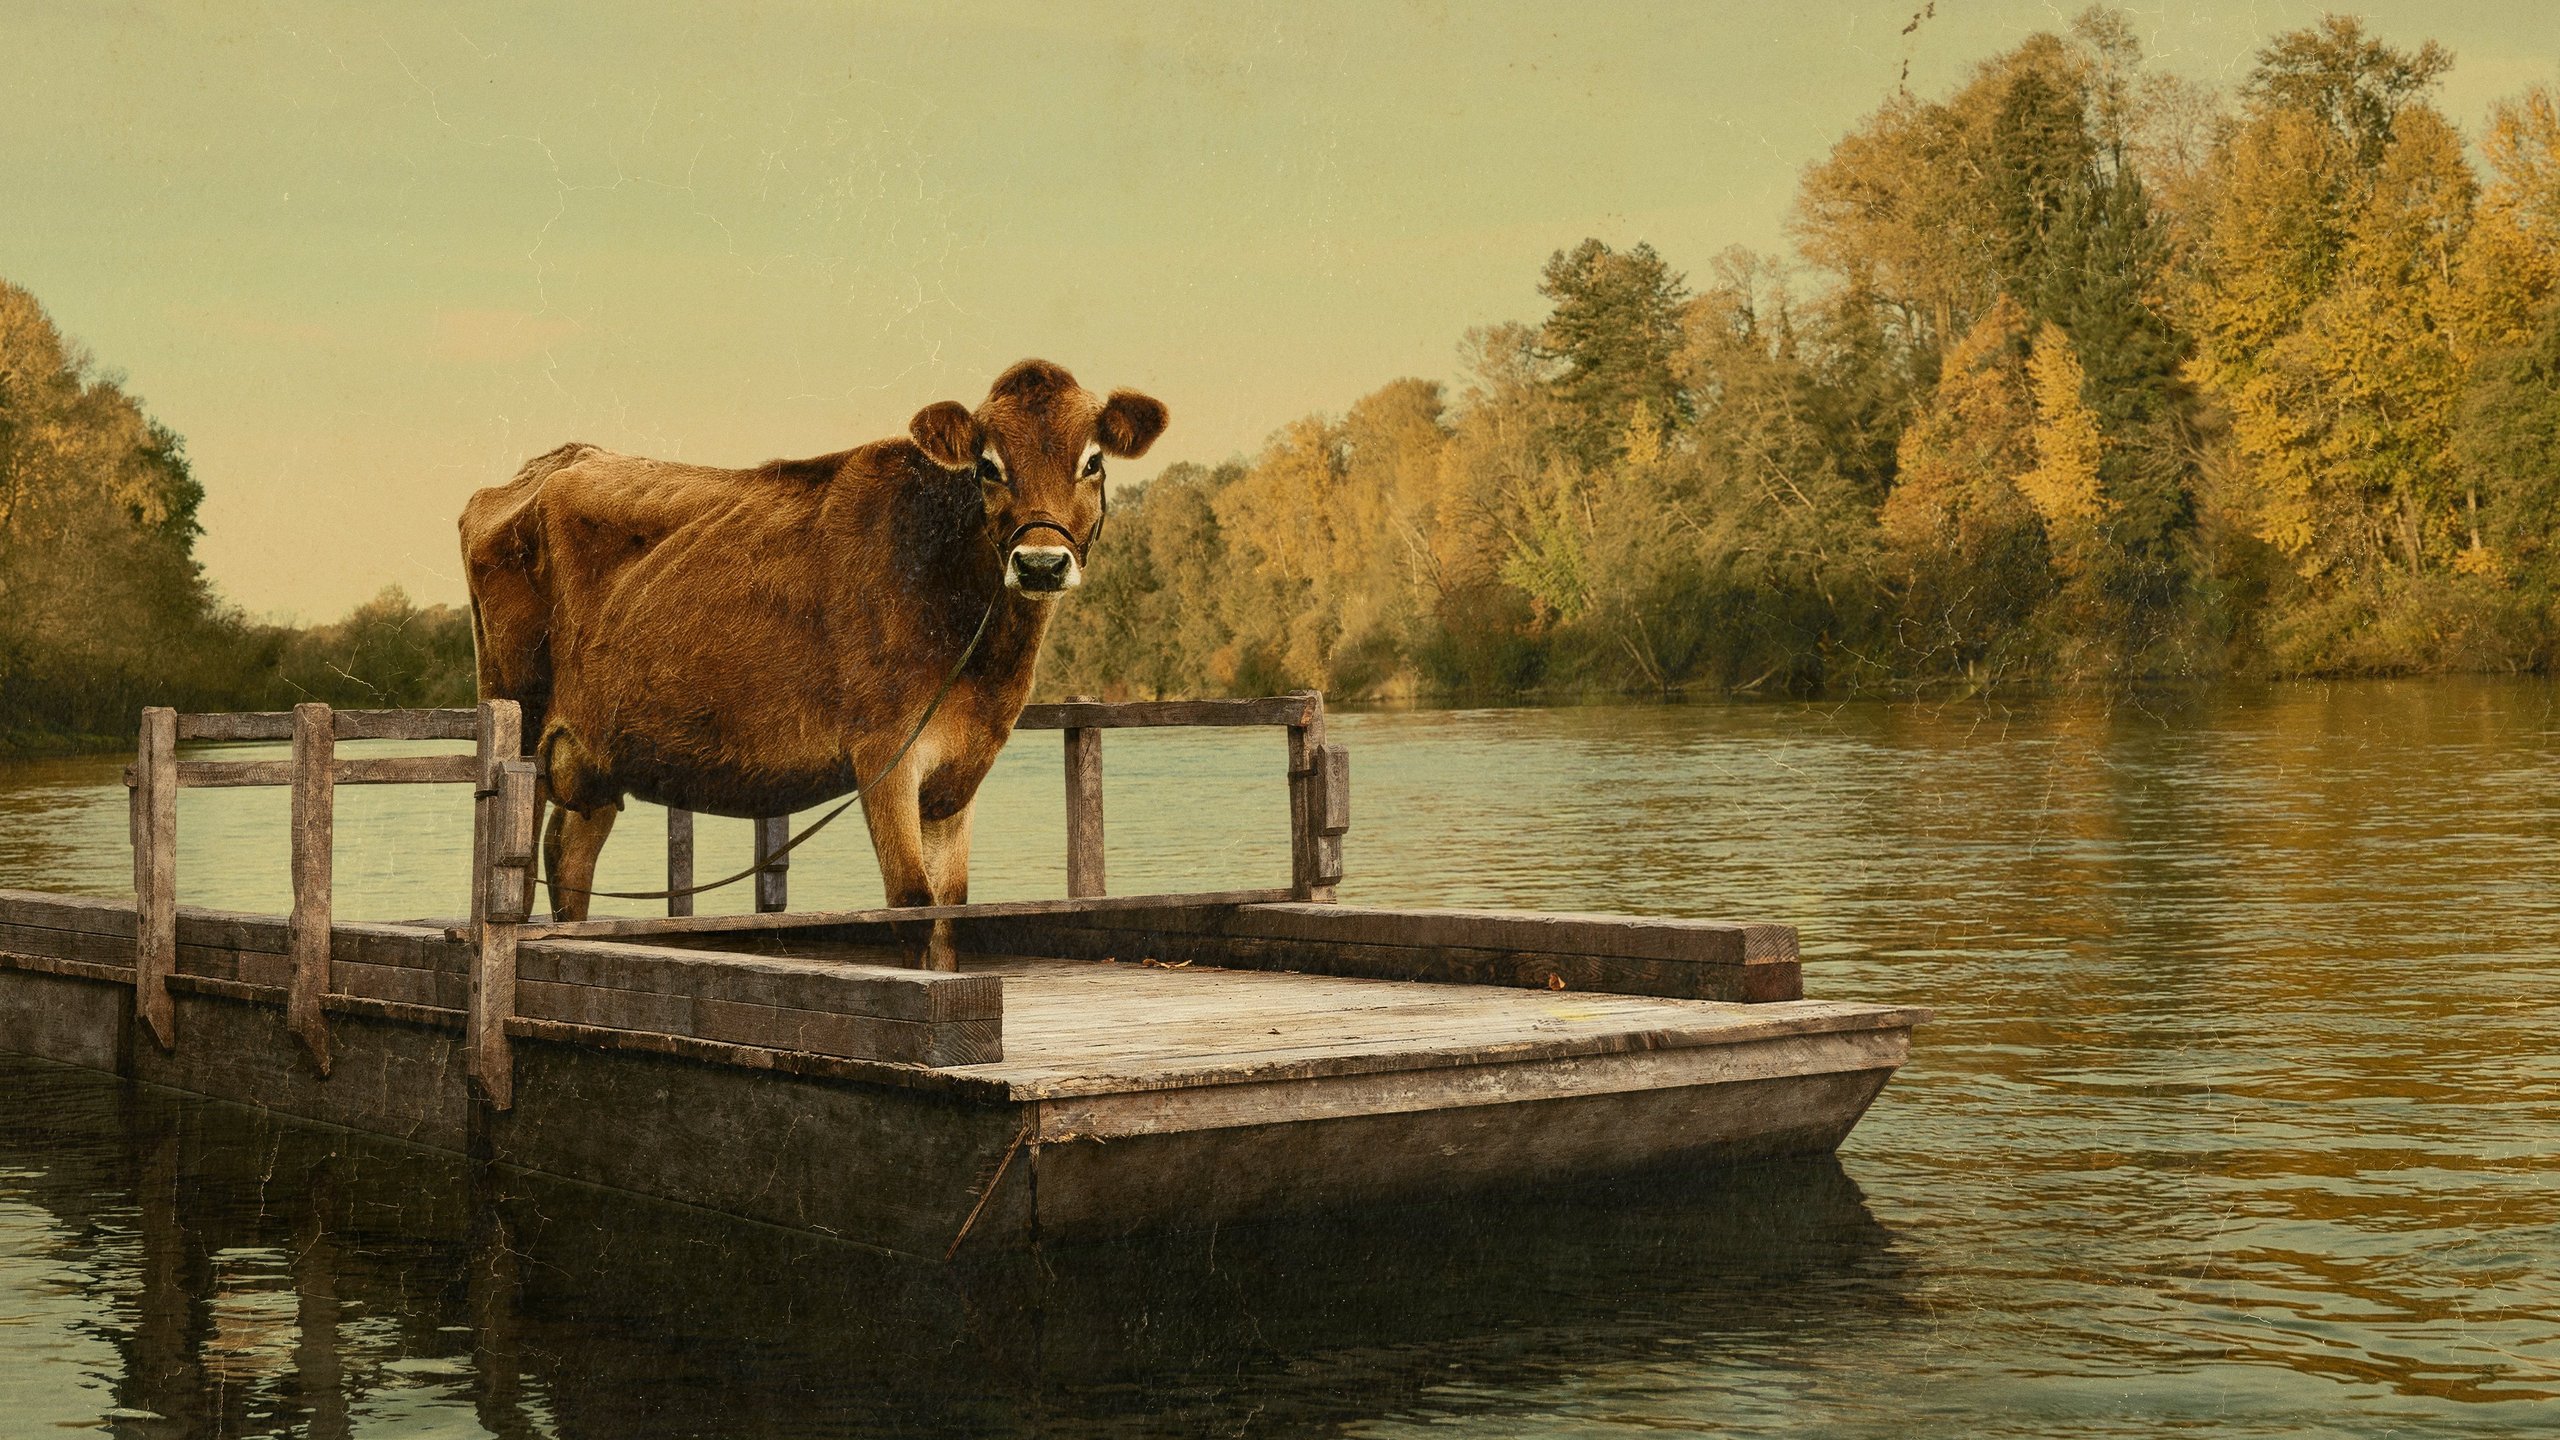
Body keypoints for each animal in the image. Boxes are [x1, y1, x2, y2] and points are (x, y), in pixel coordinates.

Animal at [458, 359, 1167, 968]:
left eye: (1093, 461)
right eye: (988, 466)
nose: (1041, 563)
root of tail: (552, 463)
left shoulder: (958, 772)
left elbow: (950, 913)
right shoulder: (885, 753)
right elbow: (911, 906)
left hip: (597, 752)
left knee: (569, 857)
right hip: (520, 720)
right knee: (514, 870)